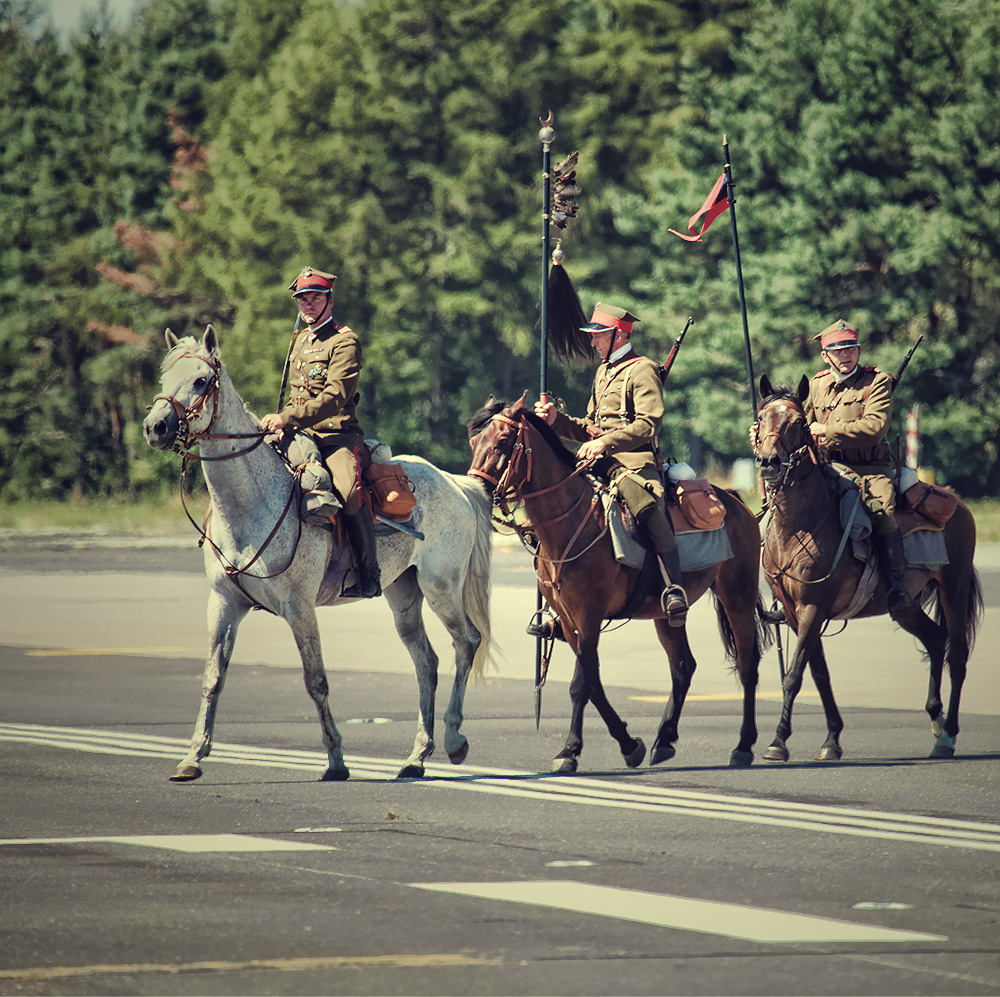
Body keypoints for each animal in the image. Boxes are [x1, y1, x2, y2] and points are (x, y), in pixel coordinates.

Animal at [142, 324, 496, 780]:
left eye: (202, 380)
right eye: (165, 377)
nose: (155, 426)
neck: (253, 504)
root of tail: (455, 483)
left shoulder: (300, 607)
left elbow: (317, 681)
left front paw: (336, 760)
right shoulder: (223, 603)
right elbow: (212, 678)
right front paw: (192, 758)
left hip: (441, 589)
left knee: (466, 642)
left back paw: (453, 741)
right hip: (403, 594)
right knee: (427, 663)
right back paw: (416, 756)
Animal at [464, 392, 768, 776]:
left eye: (503, 441)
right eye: (474, 441)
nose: (476, 491)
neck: (570, 523)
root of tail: (733, 500)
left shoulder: (589, 615)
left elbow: (581, 684)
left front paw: (574, 749)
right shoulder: (569, 620)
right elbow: (592, 682)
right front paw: (624, 745)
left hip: (738, 596)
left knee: (748, 664)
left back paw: (743, 745)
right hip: (666, 616)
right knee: (683, 666)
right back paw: (664, 739)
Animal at [752, 378, 980, 760]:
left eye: (798, 422)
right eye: (760, 418)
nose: (769, 461)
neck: (799, 525)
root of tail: (958, 502)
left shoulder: (813, 606)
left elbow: (795, 673)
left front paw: (778, 742)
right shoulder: (794, 611)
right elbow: (819, 672)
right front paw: (831, 738)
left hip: (954, 584)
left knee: (958, 655)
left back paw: (947, 736)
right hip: (906, 604)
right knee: (935, 640)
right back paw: (935, 719)